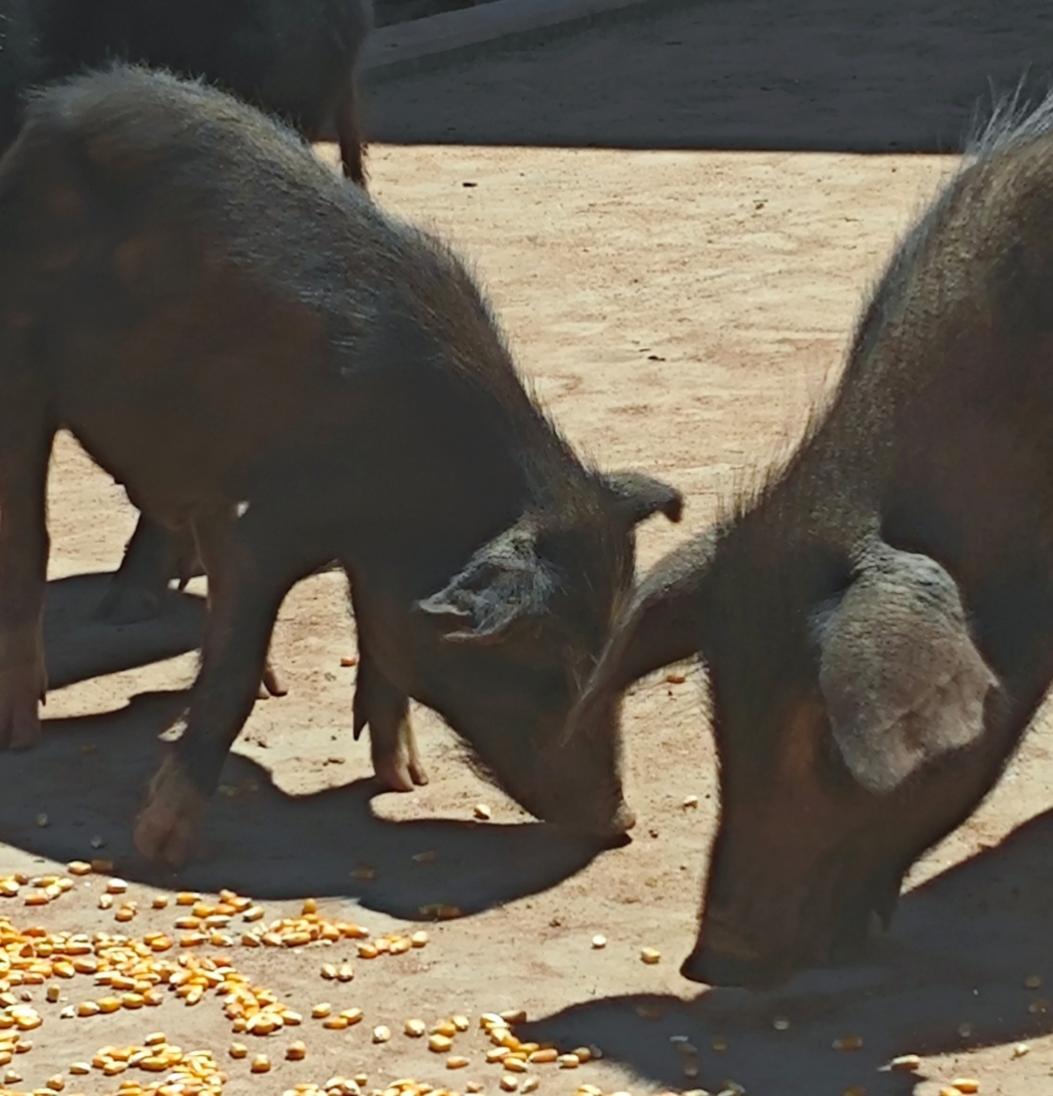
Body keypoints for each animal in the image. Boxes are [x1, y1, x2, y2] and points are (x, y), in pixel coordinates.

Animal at [0, 66, 682, 866]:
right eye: (546, 661)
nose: (623, 822)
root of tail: (50, 110)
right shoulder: (270, 519)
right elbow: (236, 666)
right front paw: (161, 844)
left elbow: (376, 641)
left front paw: (405, 780)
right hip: (20, 365)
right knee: (28, 543)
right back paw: (22, 732)